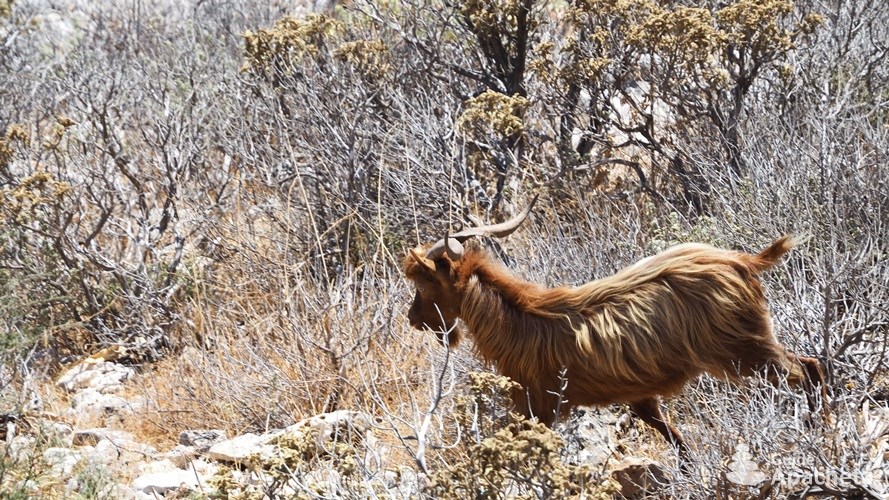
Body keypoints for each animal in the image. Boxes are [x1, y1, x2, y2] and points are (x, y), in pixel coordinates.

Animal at [406, 197, 828, 456]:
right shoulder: (638, 394)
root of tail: (743, 262)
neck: (525, 320)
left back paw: (821, 429)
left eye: (423, 285)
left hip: (744, 348)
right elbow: (674, 439)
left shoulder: (539, 403)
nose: (413, 319)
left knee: (805, 369)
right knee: (810, 367)